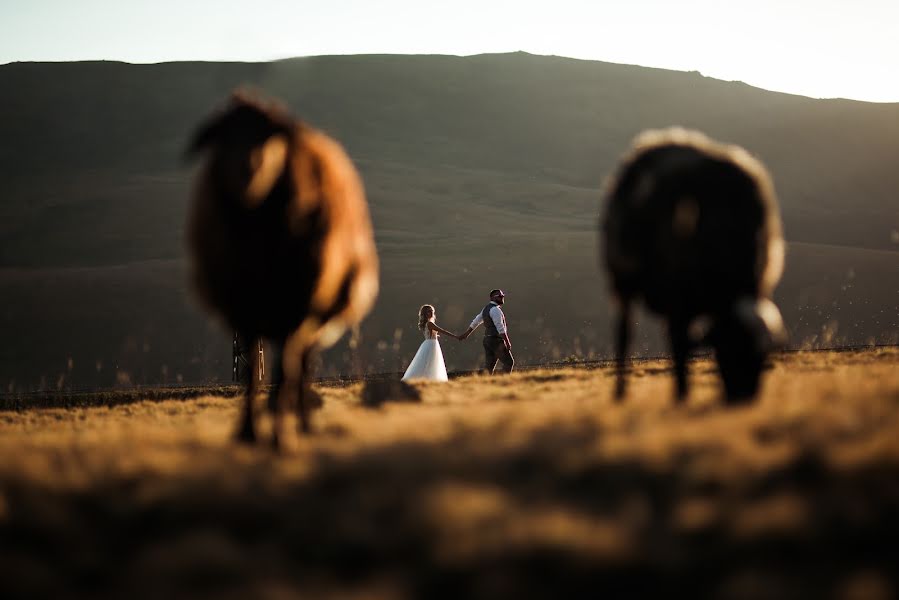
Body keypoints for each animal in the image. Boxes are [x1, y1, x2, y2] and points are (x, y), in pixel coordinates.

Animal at [186, 90, 376, 446]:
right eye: (221, 134)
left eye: (271, 135)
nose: (247, 171)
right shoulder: (244, 310)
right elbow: (252, 372)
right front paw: (249, 431)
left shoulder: (295, 309)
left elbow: (284, 369)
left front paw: (277, 433)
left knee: (300, 364)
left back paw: (300, 420)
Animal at [604, 126, 788, 404]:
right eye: (729, 347)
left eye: (762, 356)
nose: (743, 397)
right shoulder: (679, 303)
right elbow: (680, 349)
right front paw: (681, 396)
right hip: (623, 285)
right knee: (625, 335)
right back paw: (621, 392)